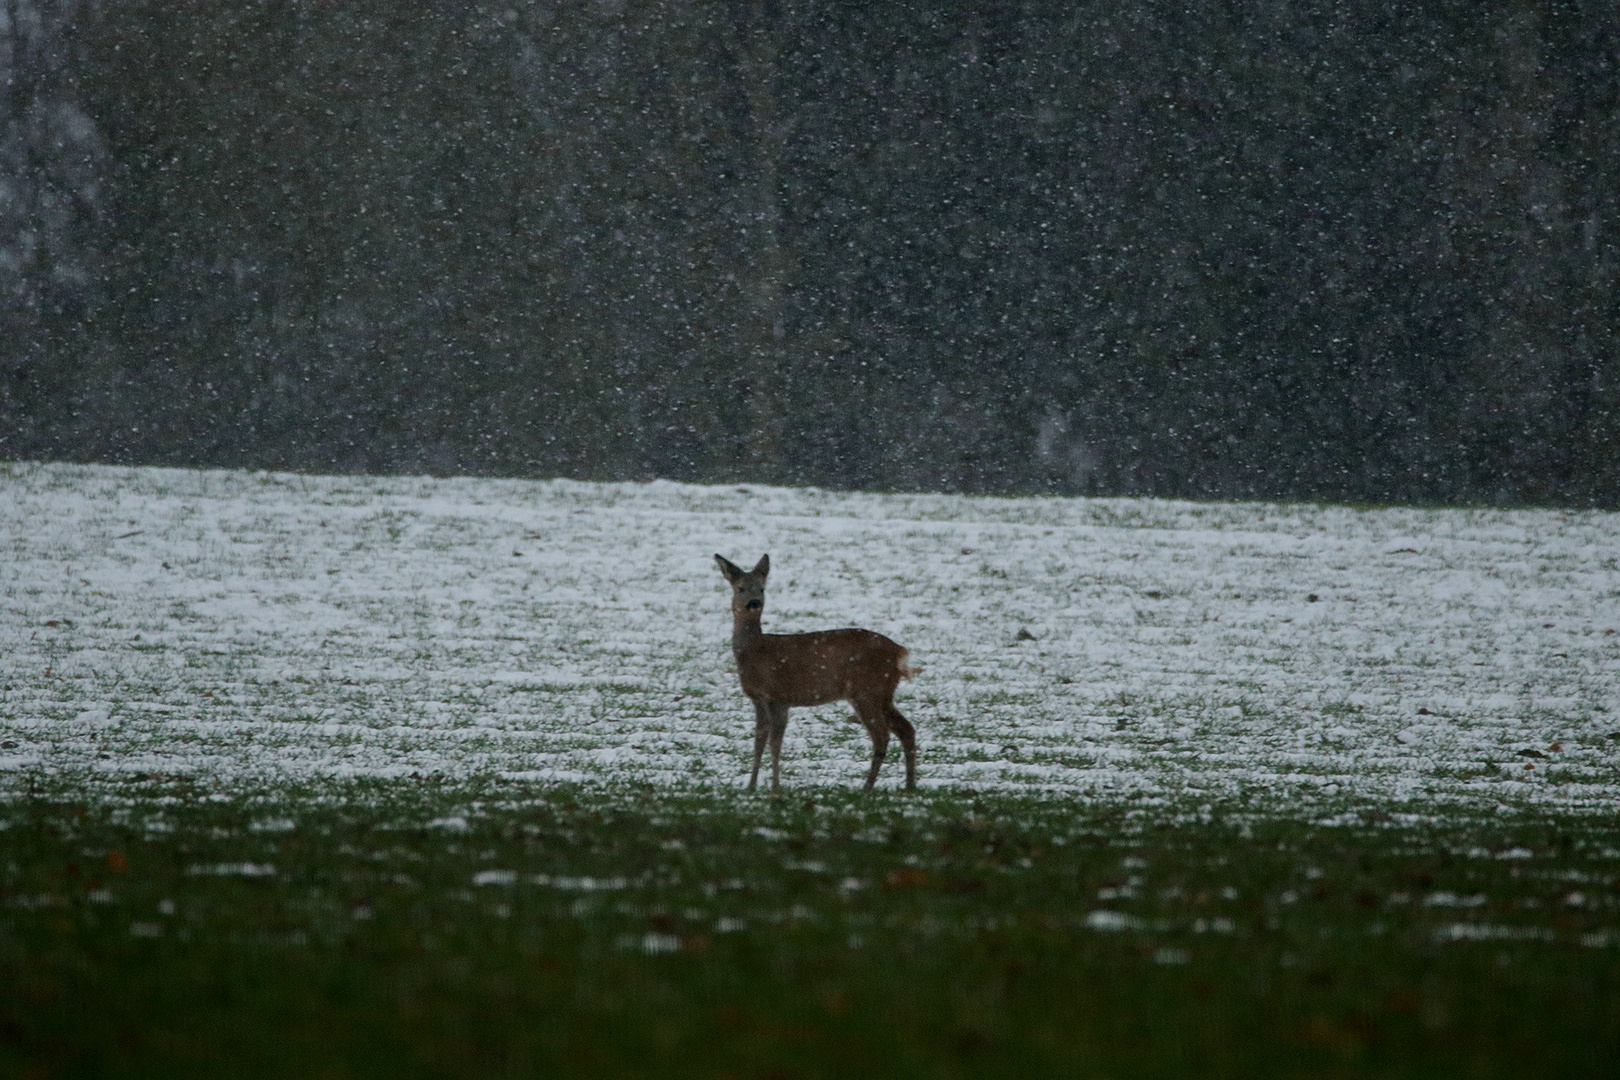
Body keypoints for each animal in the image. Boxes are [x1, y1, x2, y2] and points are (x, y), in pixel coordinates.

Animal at [716, 553, 920, 790]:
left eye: (761, 588)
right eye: (740, 588)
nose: (754, 603)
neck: (754, 650)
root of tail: (900, 652)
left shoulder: (778, 696)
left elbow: (774, 744)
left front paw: (775, 788)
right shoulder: (759, 699)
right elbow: (758, 742)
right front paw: (750, 787)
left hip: (867, 690)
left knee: (882, 736)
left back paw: (867, 789)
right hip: (883, 694)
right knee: (906, 729)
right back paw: (909, 786)